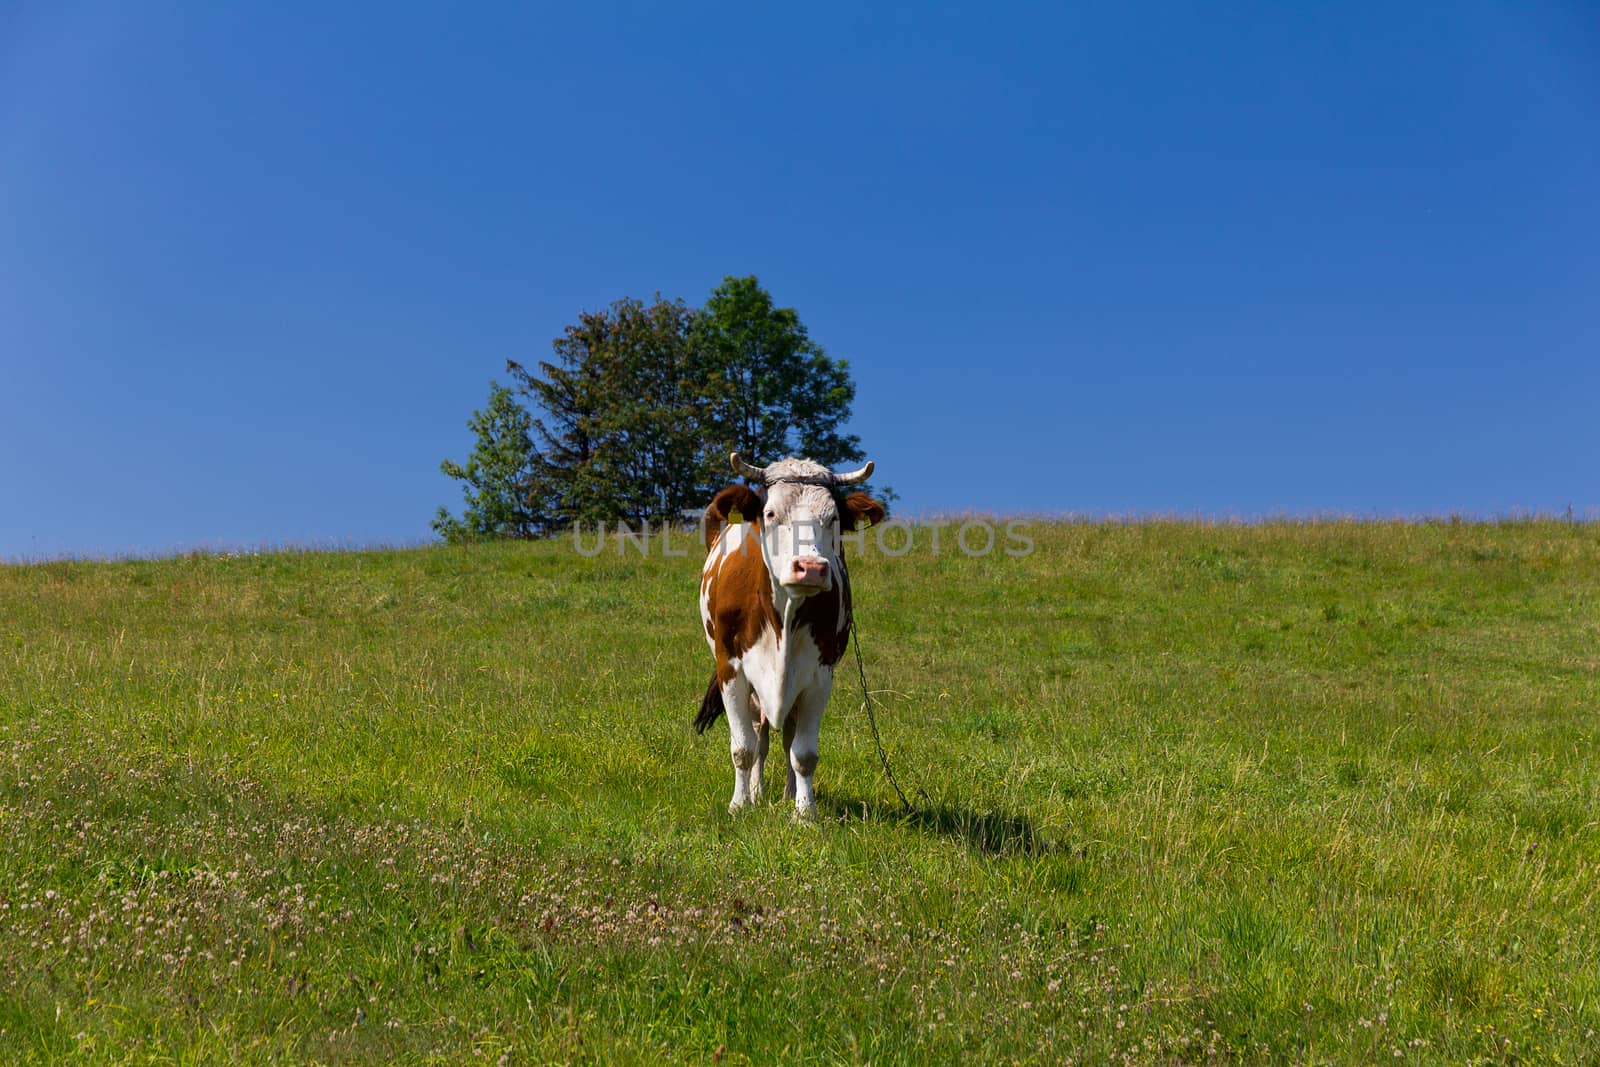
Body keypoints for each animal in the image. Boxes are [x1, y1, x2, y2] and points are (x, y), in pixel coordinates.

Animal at [691, 451, 889, 819]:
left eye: (833, 518)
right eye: (770, 514)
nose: (811, 568)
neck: (783, 612)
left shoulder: (819, 675)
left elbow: (803, 753)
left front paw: (804, 813)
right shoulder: (731, 669)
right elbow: (743, 747)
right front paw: (739, 805)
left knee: (785, 740)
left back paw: (786, 794)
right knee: (760, 737)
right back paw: (757, 793)